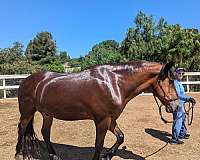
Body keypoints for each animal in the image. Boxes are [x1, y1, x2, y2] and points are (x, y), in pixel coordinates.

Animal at [15, 60, 177, 160]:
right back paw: (18, 152)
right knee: (22, 129)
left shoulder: (110, 119)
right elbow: (98, 145)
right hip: (27, 112)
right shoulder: (101, 120)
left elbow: (120, 137)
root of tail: (26, 80)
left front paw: (108, 155)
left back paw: (53, 155)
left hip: (47, 114)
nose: (175, 107)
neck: (114, 83)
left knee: (45, 132)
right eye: (170, 81)